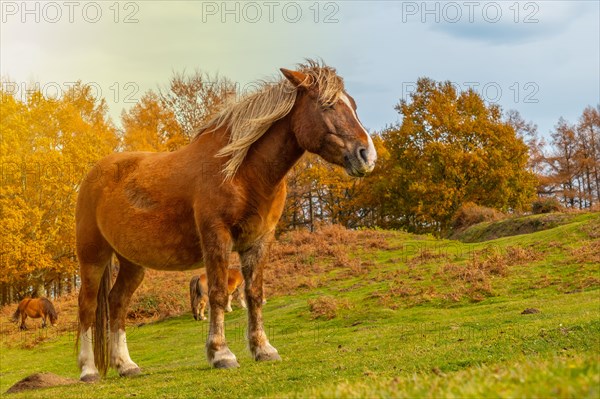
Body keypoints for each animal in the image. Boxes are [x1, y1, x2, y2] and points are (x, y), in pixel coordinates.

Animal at [74, 58, 376, 382]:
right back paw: (88, 370)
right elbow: (218, 294)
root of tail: (93, 176)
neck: (242, 172)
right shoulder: (216, 237)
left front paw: (263, 349)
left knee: (117, 303)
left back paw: (126, 365)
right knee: (87, 306)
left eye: (353, 104)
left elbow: (254, 294)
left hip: (132, 263)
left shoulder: (259, 240)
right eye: (327, 105)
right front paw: (221, 354)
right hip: (93, 257)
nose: (367, 155)